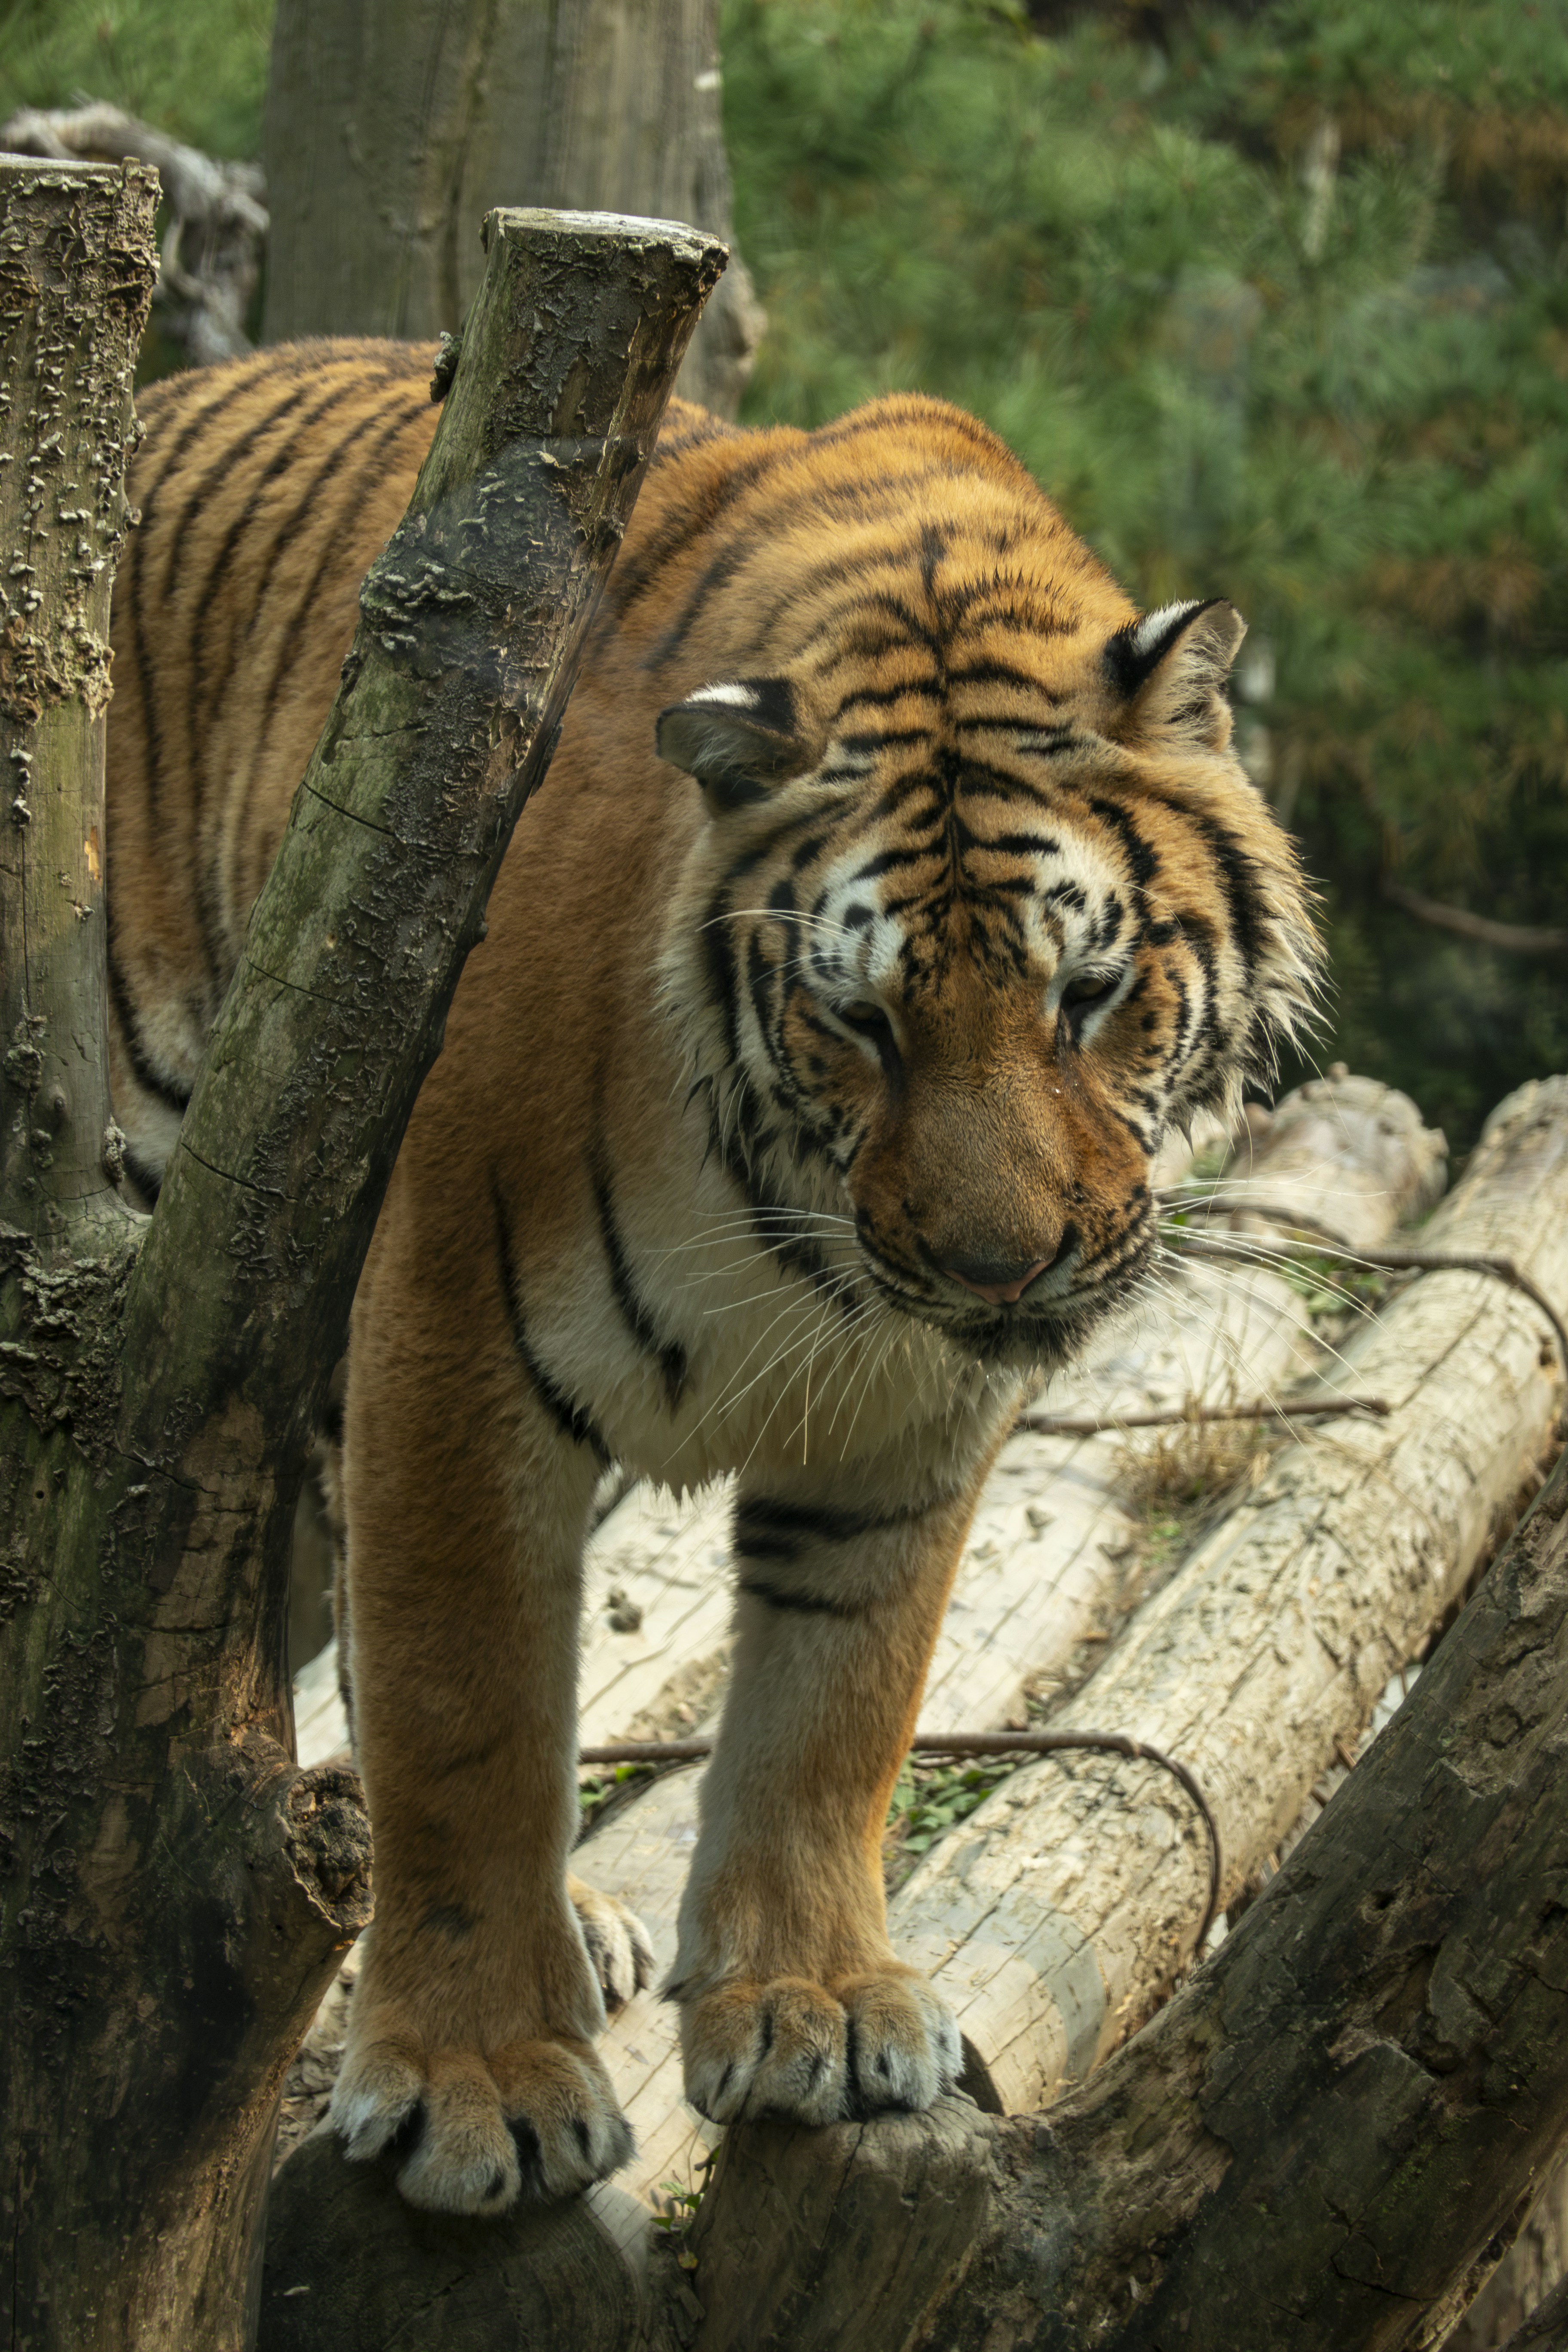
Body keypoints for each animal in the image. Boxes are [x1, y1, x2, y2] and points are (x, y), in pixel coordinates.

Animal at [107, 336, 1320, 2217]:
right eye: (861, 1019)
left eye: (1089, 995)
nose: (998, 1270)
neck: (797, 1224)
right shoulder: (448, 1337)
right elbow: (465, 1714)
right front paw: (474, 2084)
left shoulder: (904, 1421)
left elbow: (838, 1712)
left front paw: (818, 2008)